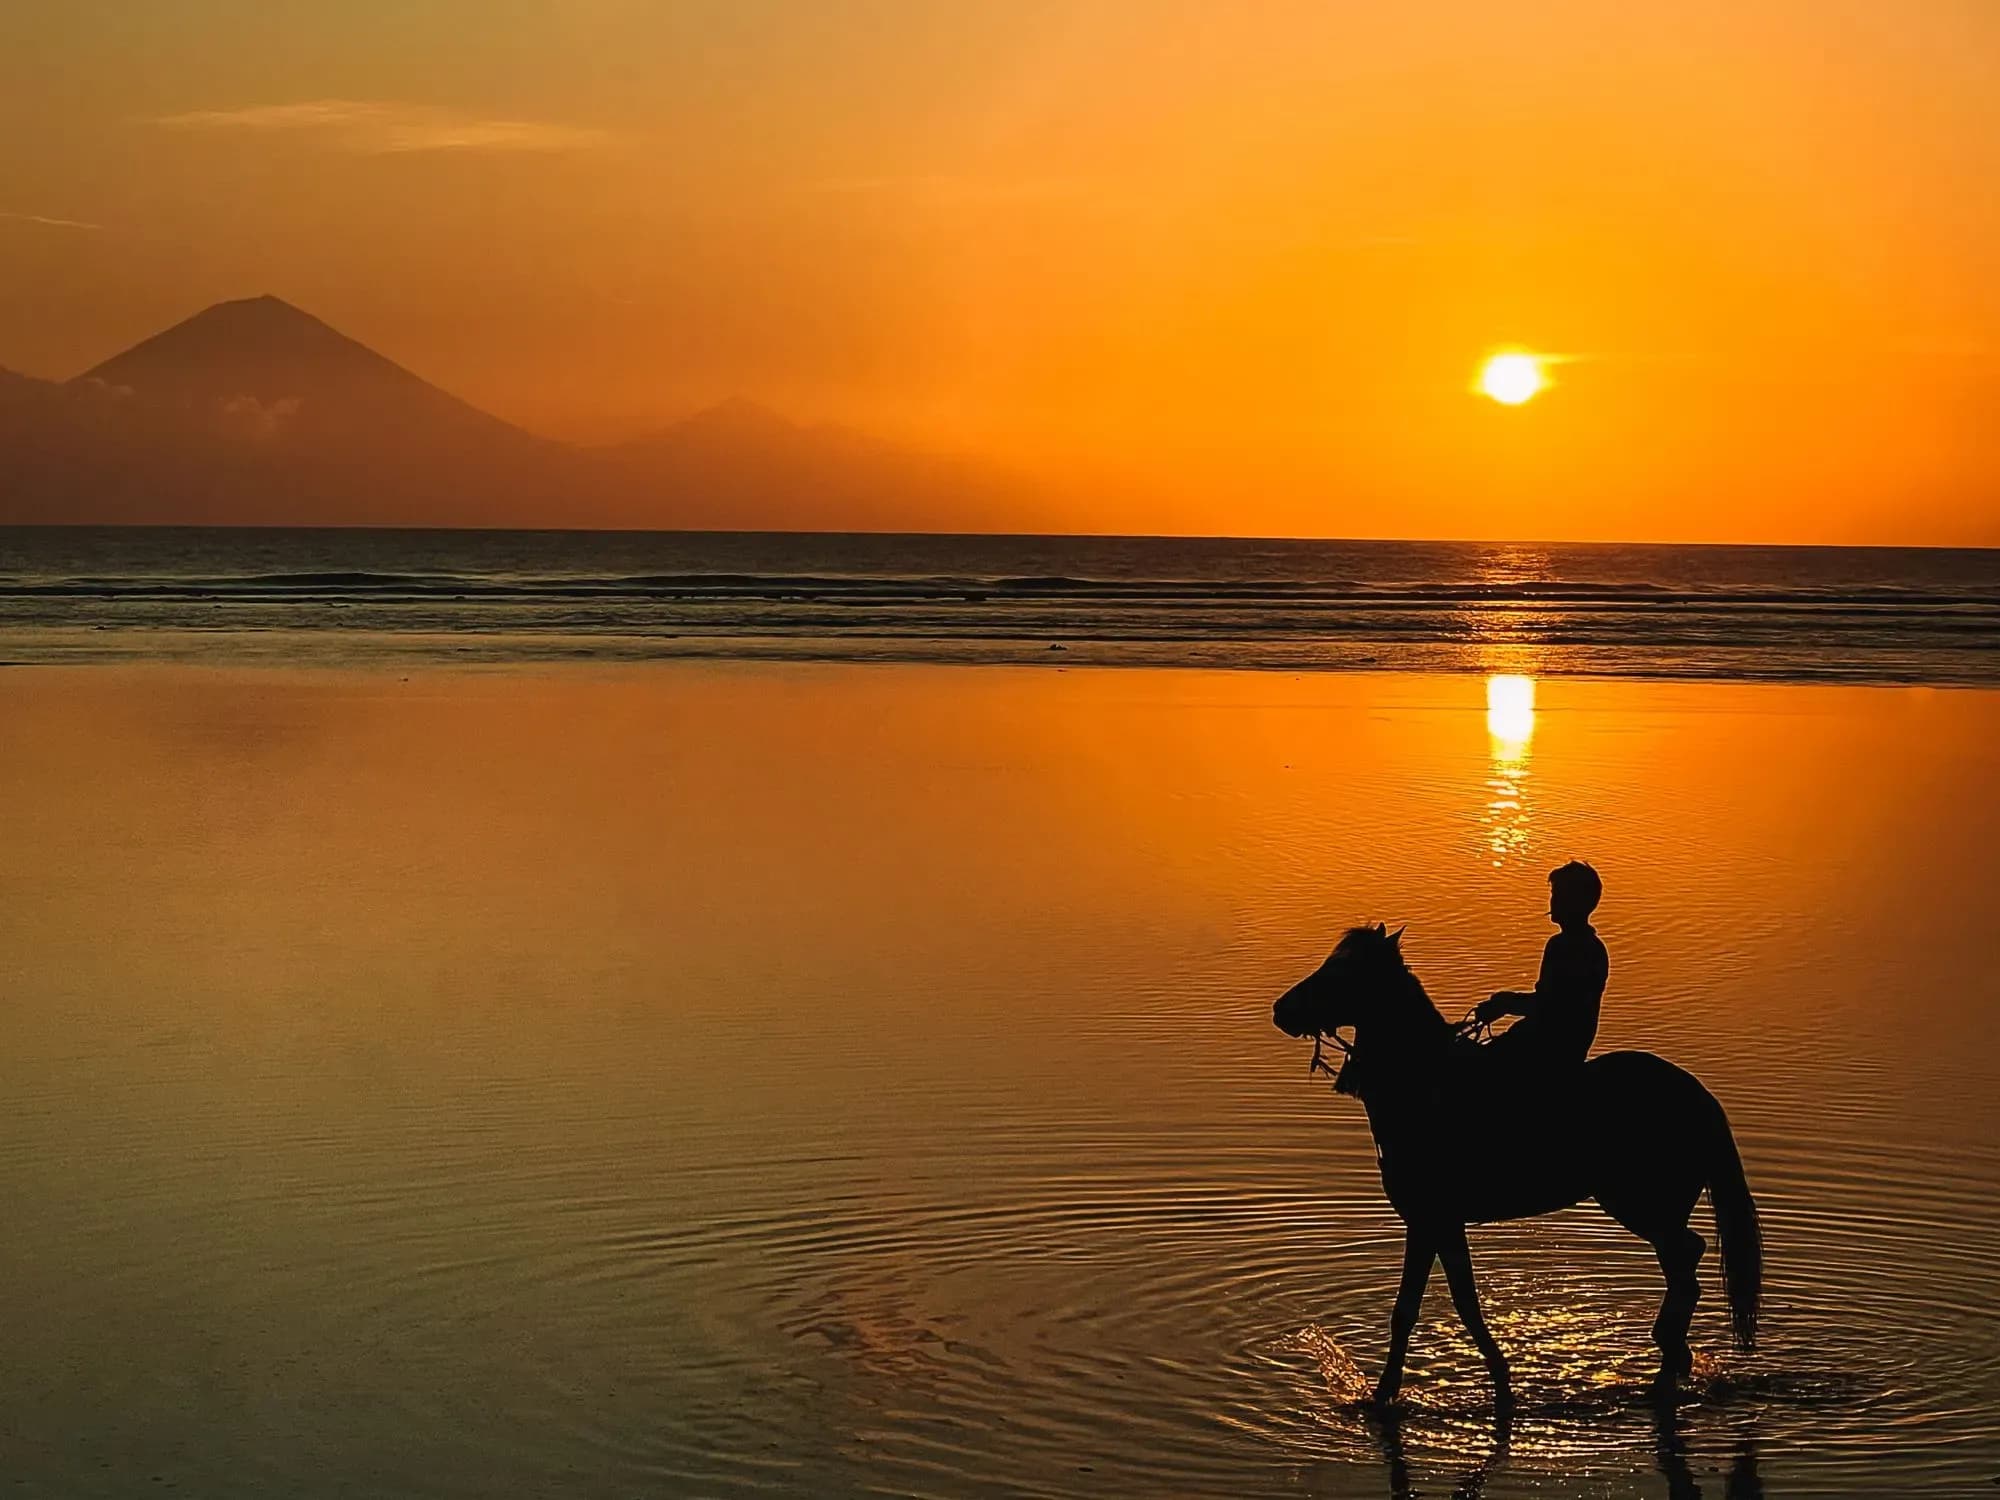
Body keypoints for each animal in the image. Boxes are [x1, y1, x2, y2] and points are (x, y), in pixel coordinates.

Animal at [1271, 923, 1761, 1407]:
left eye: (1341, 973)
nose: (1281, 1010)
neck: (1425, 1086)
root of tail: (1699, 1096)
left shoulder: (1431, 1218)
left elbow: (1420, 1308)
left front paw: (1387, 1395)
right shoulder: (1439, 1223)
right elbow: (1453, 1302)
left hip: (1641, 1205)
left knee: (1685, 1259)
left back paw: (1667, 1361)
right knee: (1683, 1265)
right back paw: (1673, 1359)